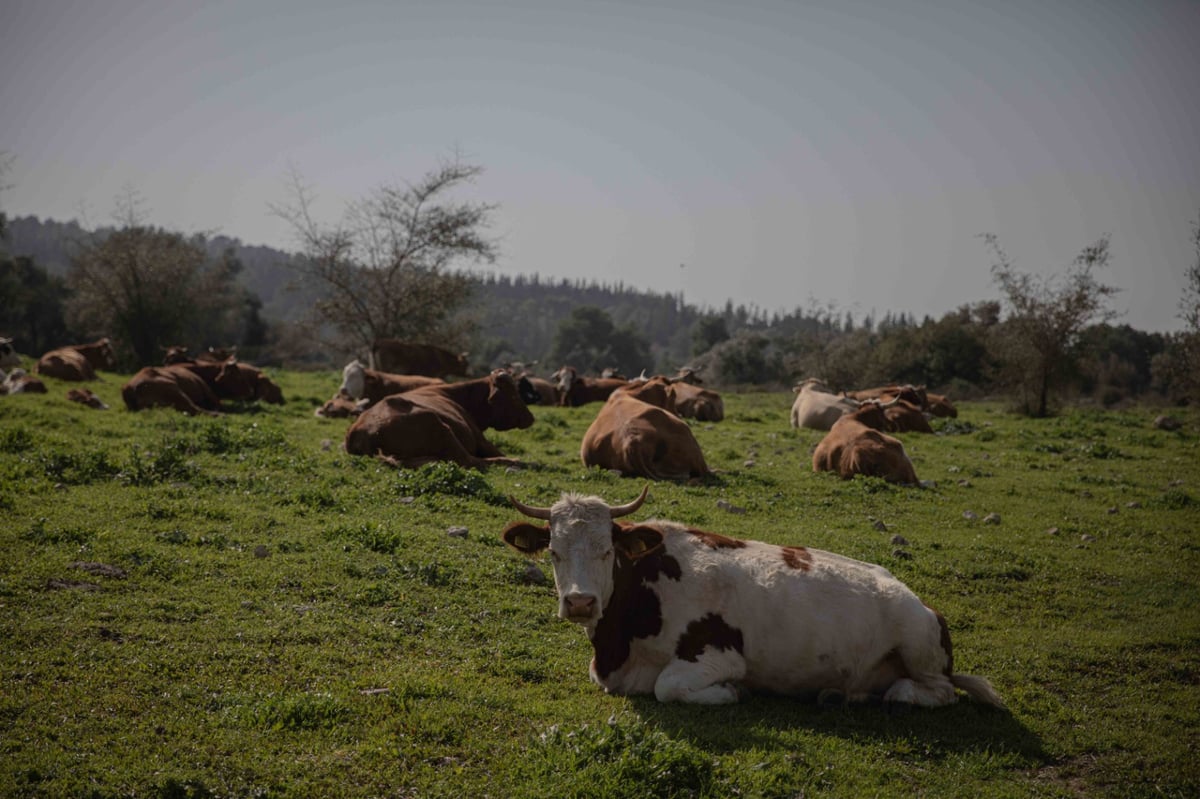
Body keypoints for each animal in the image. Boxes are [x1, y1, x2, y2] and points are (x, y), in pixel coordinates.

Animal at [348, 367, 535, 467]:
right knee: (470, 460)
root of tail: (362, 429)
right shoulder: (480, 438)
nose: (530, 417)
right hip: (441, 427)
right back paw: (517, 461)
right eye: (513, 395)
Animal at [501, 482, 1008, 705]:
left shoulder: (717, 653)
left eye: (607, 551)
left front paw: (728, 693)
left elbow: (669, 687)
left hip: (917, 643)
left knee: (934, 691)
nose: (580, 602)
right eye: (553, 552)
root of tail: (917, 597)